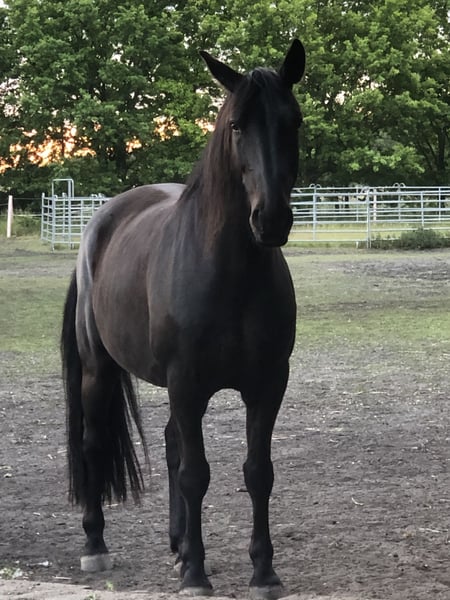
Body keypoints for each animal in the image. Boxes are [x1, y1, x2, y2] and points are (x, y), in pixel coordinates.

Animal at [61, 39, 305, 598]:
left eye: (293, 121)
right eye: (237, 125)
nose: (271, 220)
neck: (229, 274)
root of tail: (99, 224)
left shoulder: (267, 384)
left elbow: (258, 472)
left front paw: (263, 571)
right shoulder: (187, 382)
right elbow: (196, 473)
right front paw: (196, 574)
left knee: (173, 444)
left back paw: (178, 545)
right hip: (99, 369)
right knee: (94, 443)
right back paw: (95, 546)